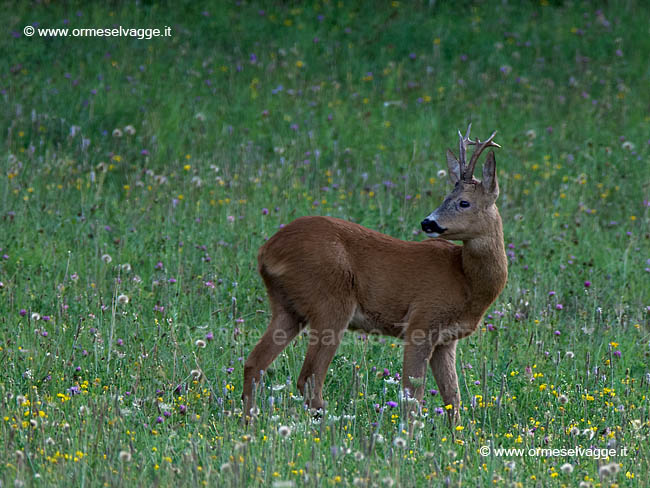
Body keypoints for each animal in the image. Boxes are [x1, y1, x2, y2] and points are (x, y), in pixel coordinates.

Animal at [243, 127, 506, 424]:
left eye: (463, 202)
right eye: (445, 199)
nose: (427, 222)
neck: (466, 281)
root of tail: (267, 251)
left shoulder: (446, 341)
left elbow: (453, 398)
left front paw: (456, 435)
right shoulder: (421, 322)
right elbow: (412, 395)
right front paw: (409, 433)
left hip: (287, 307)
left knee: (254, 363)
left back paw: (248, 423)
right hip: (330, 302)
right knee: (309, 379)